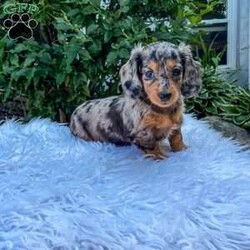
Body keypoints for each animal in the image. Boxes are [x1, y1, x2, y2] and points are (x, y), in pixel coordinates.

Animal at [70, 41, 201, 159]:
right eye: (149, 73)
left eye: (176, 71)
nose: (165, 95)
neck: (162, 110)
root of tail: (75, 110)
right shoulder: (143, 133)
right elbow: (152, 148)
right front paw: (160, 158)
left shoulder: (176, 124)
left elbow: (177, 138)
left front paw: (182, 150)